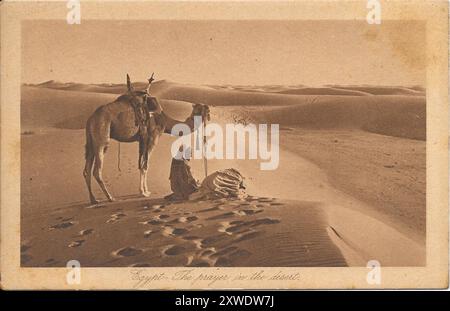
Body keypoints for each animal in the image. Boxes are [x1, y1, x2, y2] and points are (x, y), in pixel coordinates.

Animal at [83, 75, 210, 205]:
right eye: (202, 109)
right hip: (102, 137)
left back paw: (93, 199)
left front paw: (144, 190)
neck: (164, 119)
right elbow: (145, 165)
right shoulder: (153, 138)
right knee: (97, 170)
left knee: (87, 170)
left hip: (90, 141)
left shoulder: (142, 140)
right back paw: (110, 197)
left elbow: (142, 164)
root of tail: (91, 119)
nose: (208, 110)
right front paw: (144, 192)